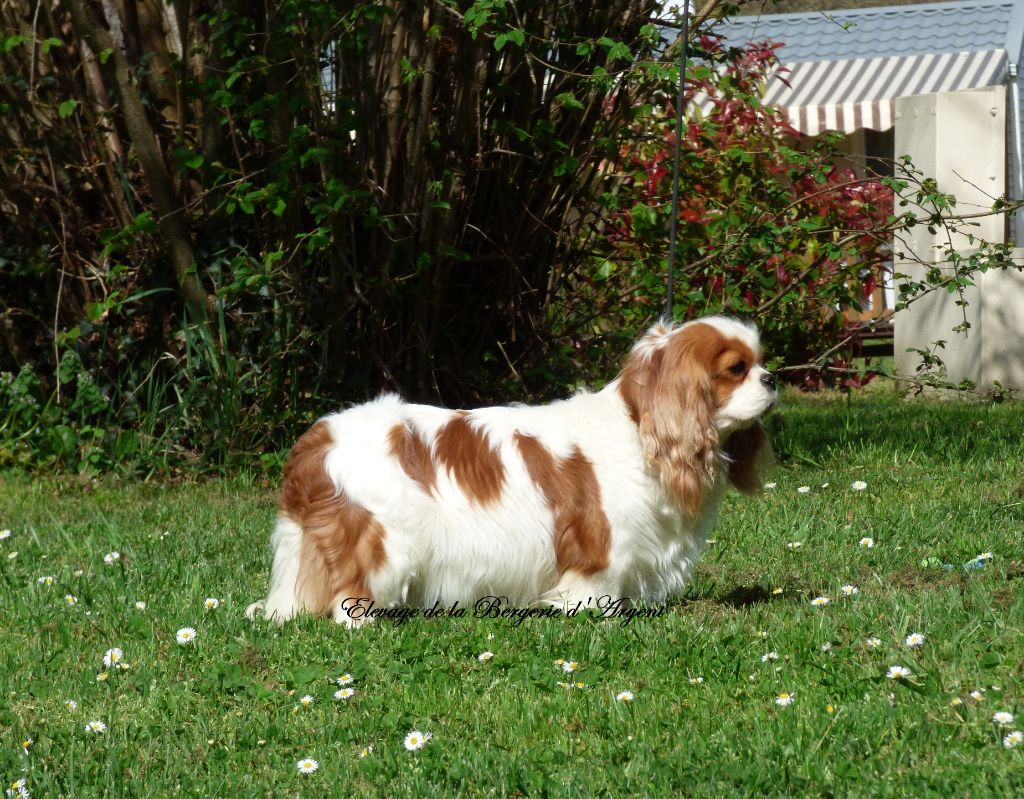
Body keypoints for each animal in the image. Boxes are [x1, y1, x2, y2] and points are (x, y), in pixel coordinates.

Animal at [247, 317, 774, 622]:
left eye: (760, 363)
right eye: (736, 369)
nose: (772, 379)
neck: (638, 426)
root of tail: (316, 441)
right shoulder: (603, 544)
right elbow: (595, 588)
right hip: (383, 540)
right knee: (349, 599)